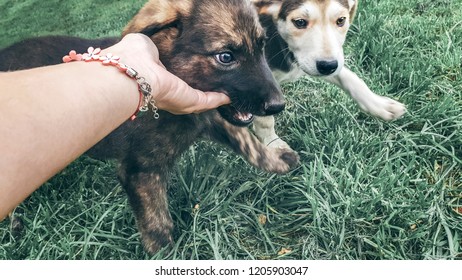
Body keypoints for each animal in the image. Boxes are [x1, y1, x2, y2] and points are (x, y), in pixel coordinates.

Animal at [0, 0, 300, 254]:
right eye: (225, 57)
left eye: (261, 47)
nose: (278, 105)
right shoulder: (140, 170)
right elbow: (156, 222)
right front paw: (167, 254)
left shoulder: (209, 115)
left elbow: (248, 144)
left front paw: (279, 160)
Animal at [251, 0, 406, 149]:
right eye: (300, 22)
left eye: (341, 20)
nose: (328, 66)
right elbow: (265, 120)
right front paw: (273, 145)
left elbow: (351, 78)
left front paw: (379, 105)